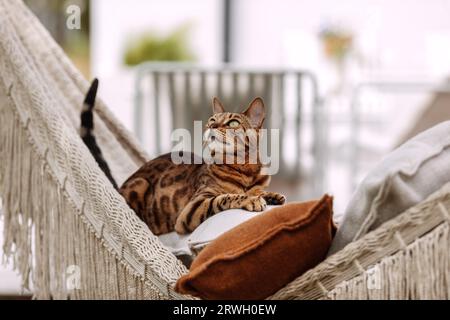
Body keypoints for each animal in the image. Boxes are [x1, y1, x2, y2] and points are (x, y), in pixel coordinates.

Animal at [81, 79, 284, 235]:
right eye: (212, 120)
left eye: (233, 123)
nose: (212, 126)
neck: (245, 171)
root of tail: (119, 187)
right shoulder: (194, 207)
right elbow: (227, 197)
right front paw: (251, 199)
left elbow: (258, 191)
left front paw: (271, 195)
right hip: (140, 184)